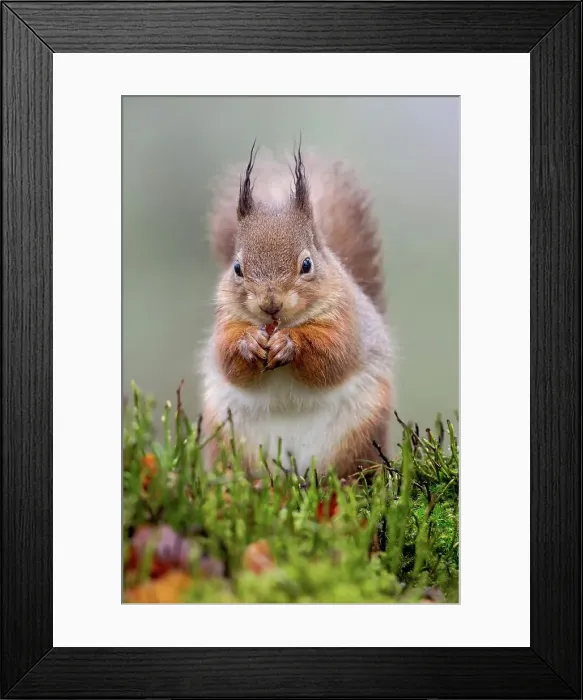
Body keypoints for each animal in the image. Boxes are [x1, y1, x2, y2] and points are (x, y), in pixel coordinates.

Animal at [199, 140, 394, 480]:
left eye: (307, 264)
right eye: (237, 268)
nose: (270, 304)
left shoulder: (346, 317)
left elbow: (333, 354)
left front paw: (290, 344)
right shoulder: (226, 319)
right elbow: (227, 358)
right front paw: (248, 343)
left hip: (361, 431)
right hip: (227, 435)